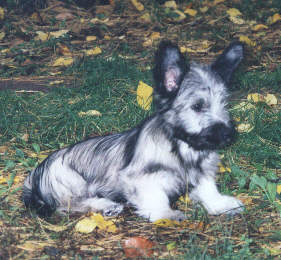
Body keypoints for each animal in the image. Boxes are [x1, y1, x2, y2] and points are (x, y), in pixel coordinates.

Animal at [23, 40, 244, 221]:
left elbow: (208, 189)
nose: (228, 135)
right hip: (72, 181)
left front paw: (220, 204)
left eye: (224, 104)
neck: (182, 147)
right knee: (71, 204)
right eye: (198, 106)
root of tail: (34, 178)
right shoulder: (141, 178)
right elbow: (156, 196)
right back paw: (107, 205)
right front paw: (166, 213)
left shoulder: (202, 172)